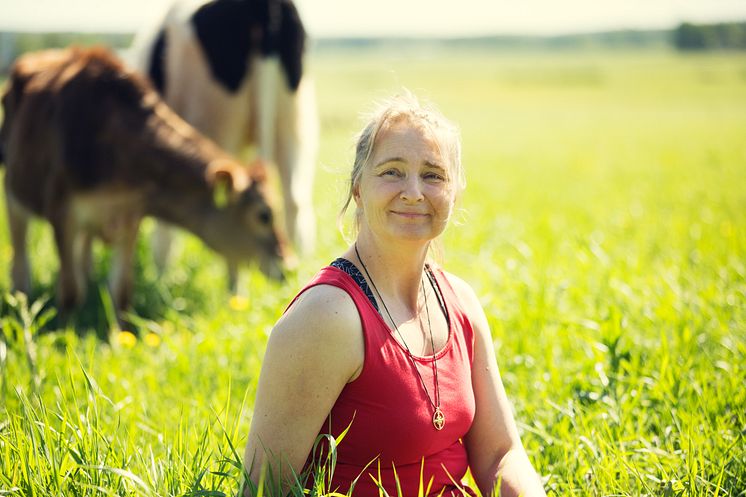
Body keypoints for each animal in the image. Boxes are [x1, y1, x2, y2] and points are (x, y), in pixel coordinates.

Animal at [0, 46, 286, 318]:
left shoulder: (130, 216)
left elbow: (122, 291)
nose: (287, 264)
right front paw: (66, 330)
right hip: (13, 189)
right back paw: (20, 295)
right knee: (20, 254)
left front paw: (118, 333)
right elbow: (70, 292)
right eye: (263, 215)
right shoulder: (62, 211)